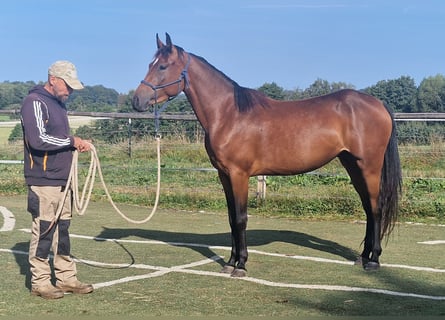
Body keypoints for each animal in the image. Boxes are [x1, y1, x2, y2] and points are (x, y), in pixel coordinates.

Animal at [132, 33, 402, 278]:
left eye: (163, 66)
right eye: (150, 64)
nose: (137, 100)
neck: (228, 114)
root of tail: (378, 104)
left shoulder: (239, 175)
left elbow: (240, 218)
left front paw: (240, 265)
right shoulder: (224, 176)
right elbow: (231, 218)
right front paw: (230, 262)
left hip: (369, 167)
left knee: (376, 208)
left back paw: (373, 261)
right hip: (352, 165)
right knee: (368, 208)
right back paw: (362, 257)